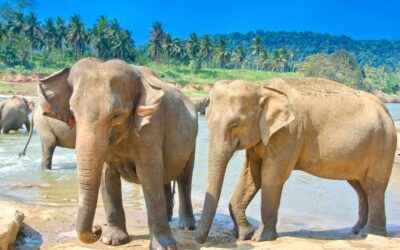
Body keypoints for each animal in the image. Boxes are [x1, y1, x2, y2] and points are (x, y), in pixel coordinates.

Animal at [38, 57, 198, 249]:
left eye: (116, 116)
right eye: (74, 114)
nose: (97, 229)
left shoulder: (151, 127)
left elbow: (149, 175)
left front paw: (164, 247)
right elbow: (107, 177)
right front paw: (112, 240)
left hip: (192, 141)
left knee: (184, 178)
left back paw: (188, 226)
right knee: (166, 179)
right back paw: (169, 217)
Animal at [195, 77, 396, 242]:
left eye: (235, 124)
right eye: (208, 119)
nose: (198, 238)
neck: (262, 87)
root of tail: (385, 109)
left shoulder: (289, 133)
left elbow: (271, 178)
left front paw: (260, 238)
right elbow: (252, 177)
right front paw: (245, 234)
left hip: (383, 147)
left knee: (374, 187)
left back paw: (371, 234)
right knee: (360, 188)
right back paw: (356, 230)